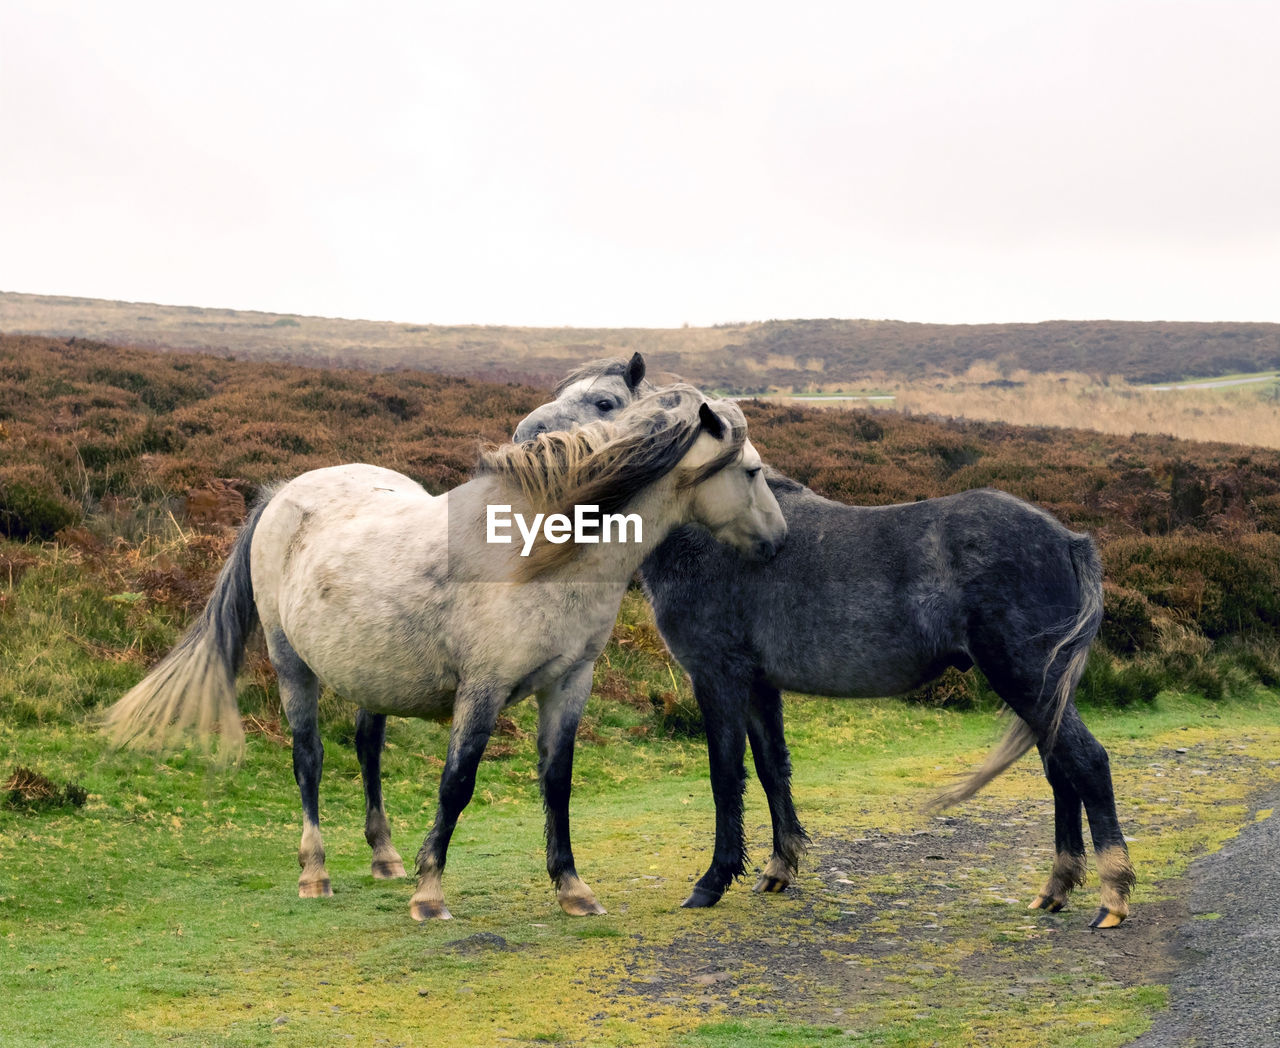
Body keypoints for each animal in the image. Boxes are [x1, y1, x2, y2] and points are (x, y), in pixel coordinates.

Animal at [107, 383, 788, 916]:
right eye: (752, 472)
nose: (779, 542)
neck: (539, 552)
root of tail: (281, 495)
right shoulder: (482, 688)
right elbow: (456, 782)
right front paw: (430, 891)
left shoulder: (569, 683)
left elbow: (557, 781)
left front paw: (572, 888)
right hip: (291, 665)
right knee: (309, 760)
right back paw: (315, 873)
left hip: (372, 674)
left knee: (367, 748)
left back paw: (384, 857)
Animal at [514, 355, 1136, 931]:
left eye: (603, 403)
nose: (525, 439)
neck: (718, 533)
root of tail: (1069, 538)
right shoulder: (759, 685)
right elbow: (772, 769)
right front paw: (778, 869)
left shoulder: (718, 676)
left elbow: (725, 775)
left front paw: (713, 881)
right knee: (1061, 768)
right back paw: (1056, 888)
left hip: (1026, 677)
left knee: (1086, 762)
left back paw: (1111, 897)